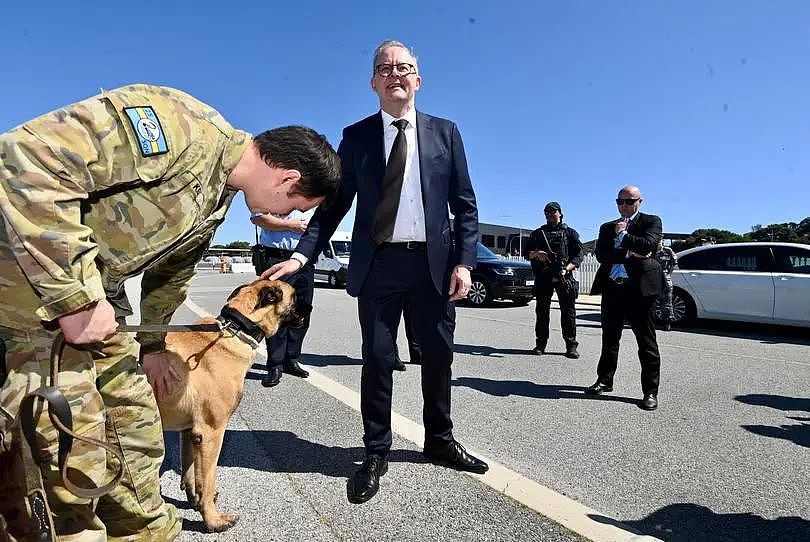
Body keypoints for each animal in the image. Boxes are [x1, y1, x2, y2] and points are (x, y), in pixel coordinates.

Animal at [155, 280, 304, 536]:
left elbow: (190, 471)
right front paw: (212, 520)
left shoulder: (190, 432)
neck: (237, 329)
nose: (309, 307)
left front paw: (194, 500)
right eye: (294, 296)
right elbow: (208, 478)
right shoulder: (210, 434)